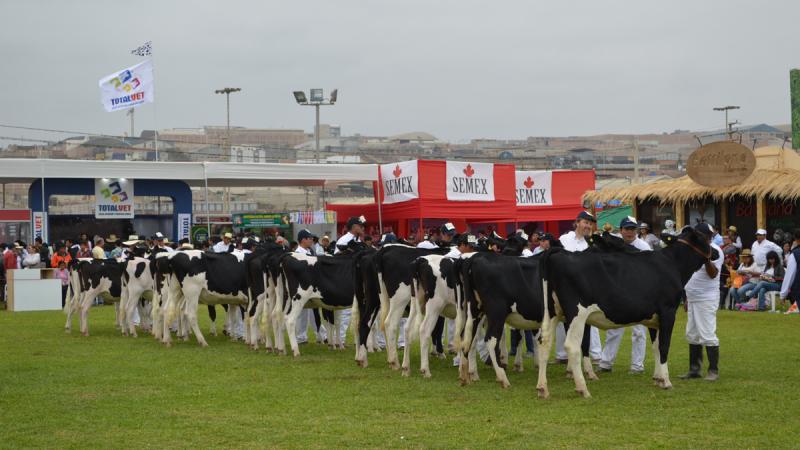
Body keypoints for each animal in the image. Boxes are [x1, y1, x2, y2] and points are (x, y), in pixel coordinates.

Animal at [540, 229, 716, 398]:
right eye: (705, 238)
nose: (716, 252)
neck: (672, 264)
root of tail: (560, 253)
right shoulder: (668, 311)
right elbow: (664, 346)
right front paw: (666, 381)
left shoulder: (654, 319)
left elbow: (656, 347)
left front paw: (658, 379)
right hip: (577, 314)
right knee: (572, 346)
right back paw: (582, 389)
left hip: (553, 312)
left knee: (545, 341)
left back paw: (542, 389)